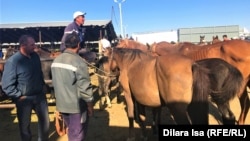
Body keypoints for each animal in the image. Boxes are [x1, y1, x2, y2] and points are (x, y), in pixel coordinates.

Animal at [104, 47, 242, 140]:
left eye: (105, 57)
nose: (107, 76)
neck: (131, 63)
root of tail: (193, 64)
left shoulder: (129, 95)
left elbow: (132, 116)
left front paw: (133, 136)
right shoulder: (145, 100)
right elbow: (147, 117)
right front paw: (147, 133)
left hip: (178, 109)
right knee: (228, 117)